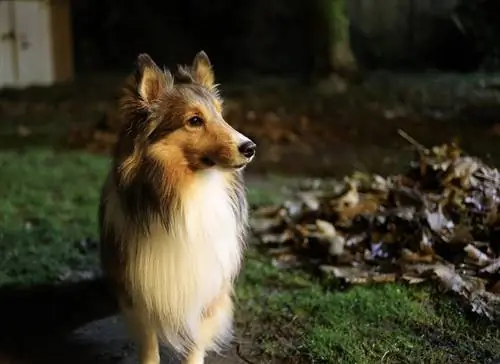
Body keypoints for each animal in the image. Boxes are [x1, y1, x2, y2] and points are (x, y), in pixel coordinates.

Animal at [98, 51, 256, 364]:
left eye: (220, 114)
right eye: (194, 120)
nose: (250, 148)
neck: (189, 192)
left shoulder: (205, 288)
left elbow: (195, 341)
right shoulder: (139, 289)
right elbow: (148, 344)